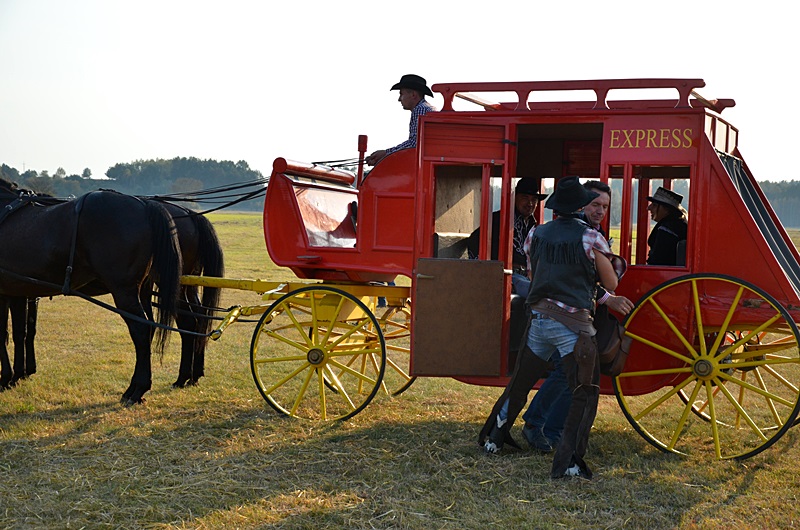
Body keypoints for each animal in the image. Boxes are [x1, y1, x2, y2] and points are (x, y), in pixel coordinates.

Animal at [0, 199, 224, 390]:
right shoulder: (19, 291)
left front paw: (8, 377)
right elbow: (23, 331)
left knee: (147, 328)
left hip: (131, 289)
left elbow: (6, 334)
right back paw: (188, 375)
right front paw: (20, 373)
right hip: (167, 287)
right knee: (190, 322)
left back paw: (139, 389)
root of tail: (146, 205)